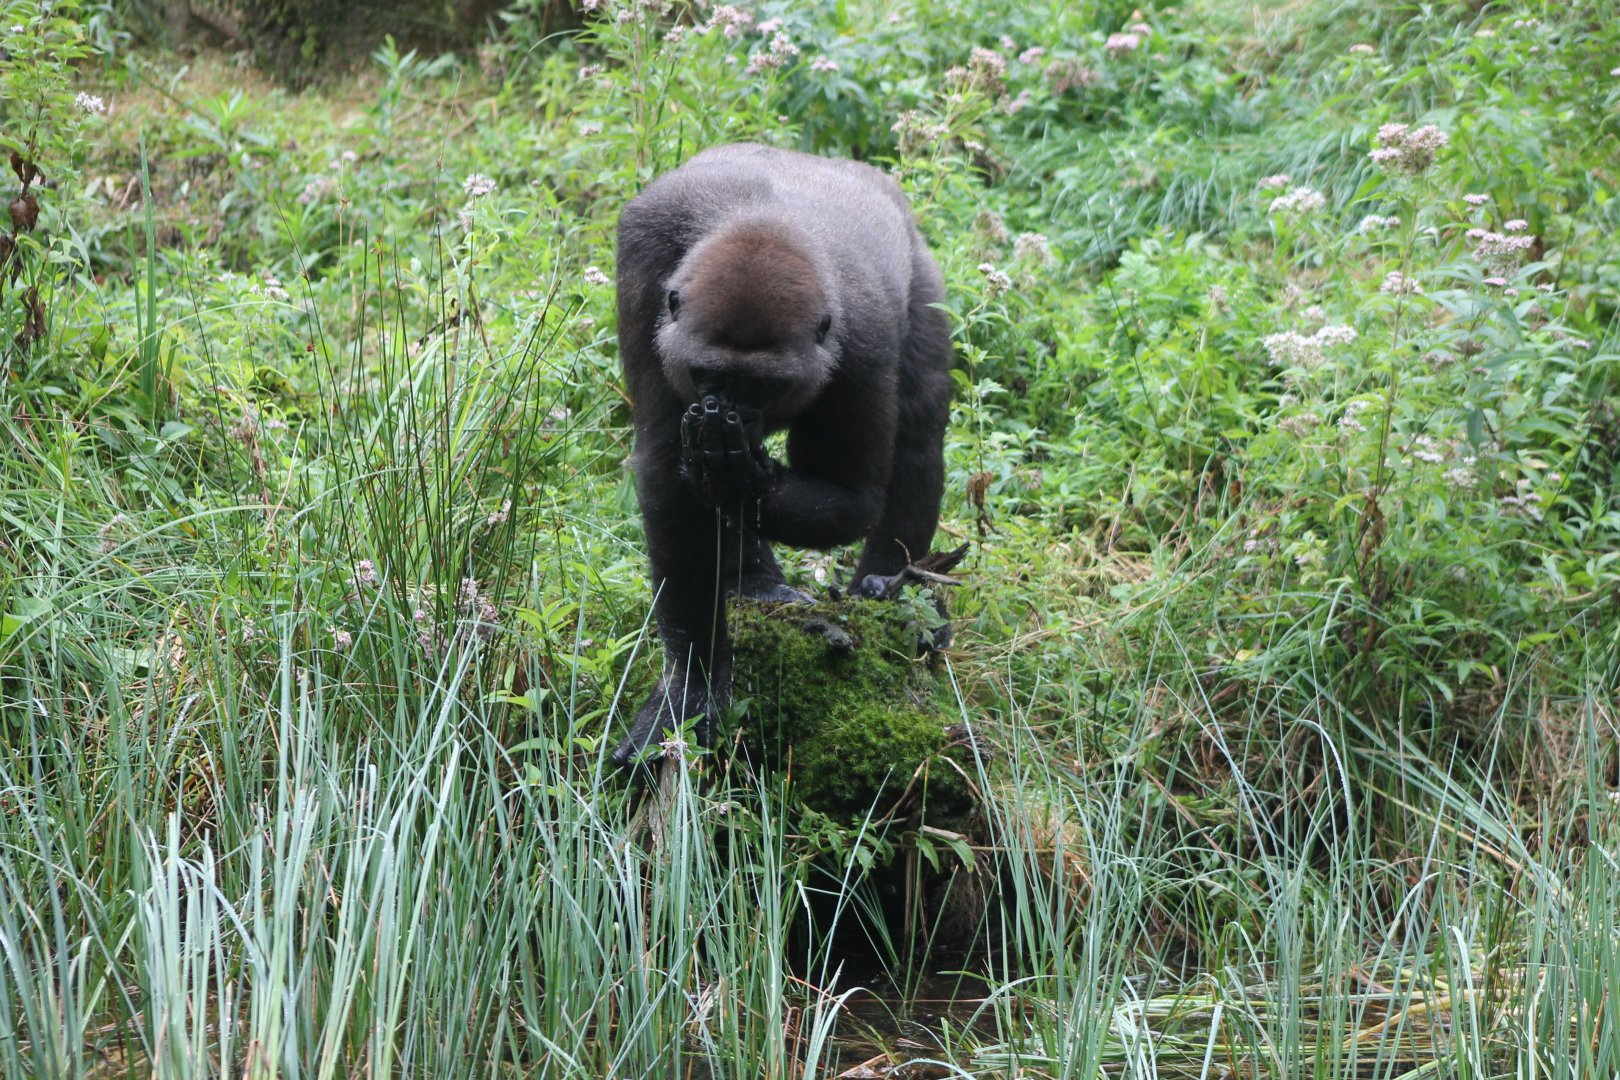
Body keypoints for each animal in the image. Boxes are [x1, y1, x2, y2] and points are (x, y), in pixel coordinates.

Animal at [611, 143, 953, 767]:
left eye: (764, 387)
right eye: (708, 376)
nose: (734, 413)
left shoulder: (863, 335)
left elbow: (851, 497)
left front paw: (740, 477)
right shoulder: (648, 277)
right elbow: (671, 477)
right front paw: (692, 684)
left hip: (921, 266)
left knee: (920, 427)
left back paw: (894, 589)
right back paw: (754, 581)